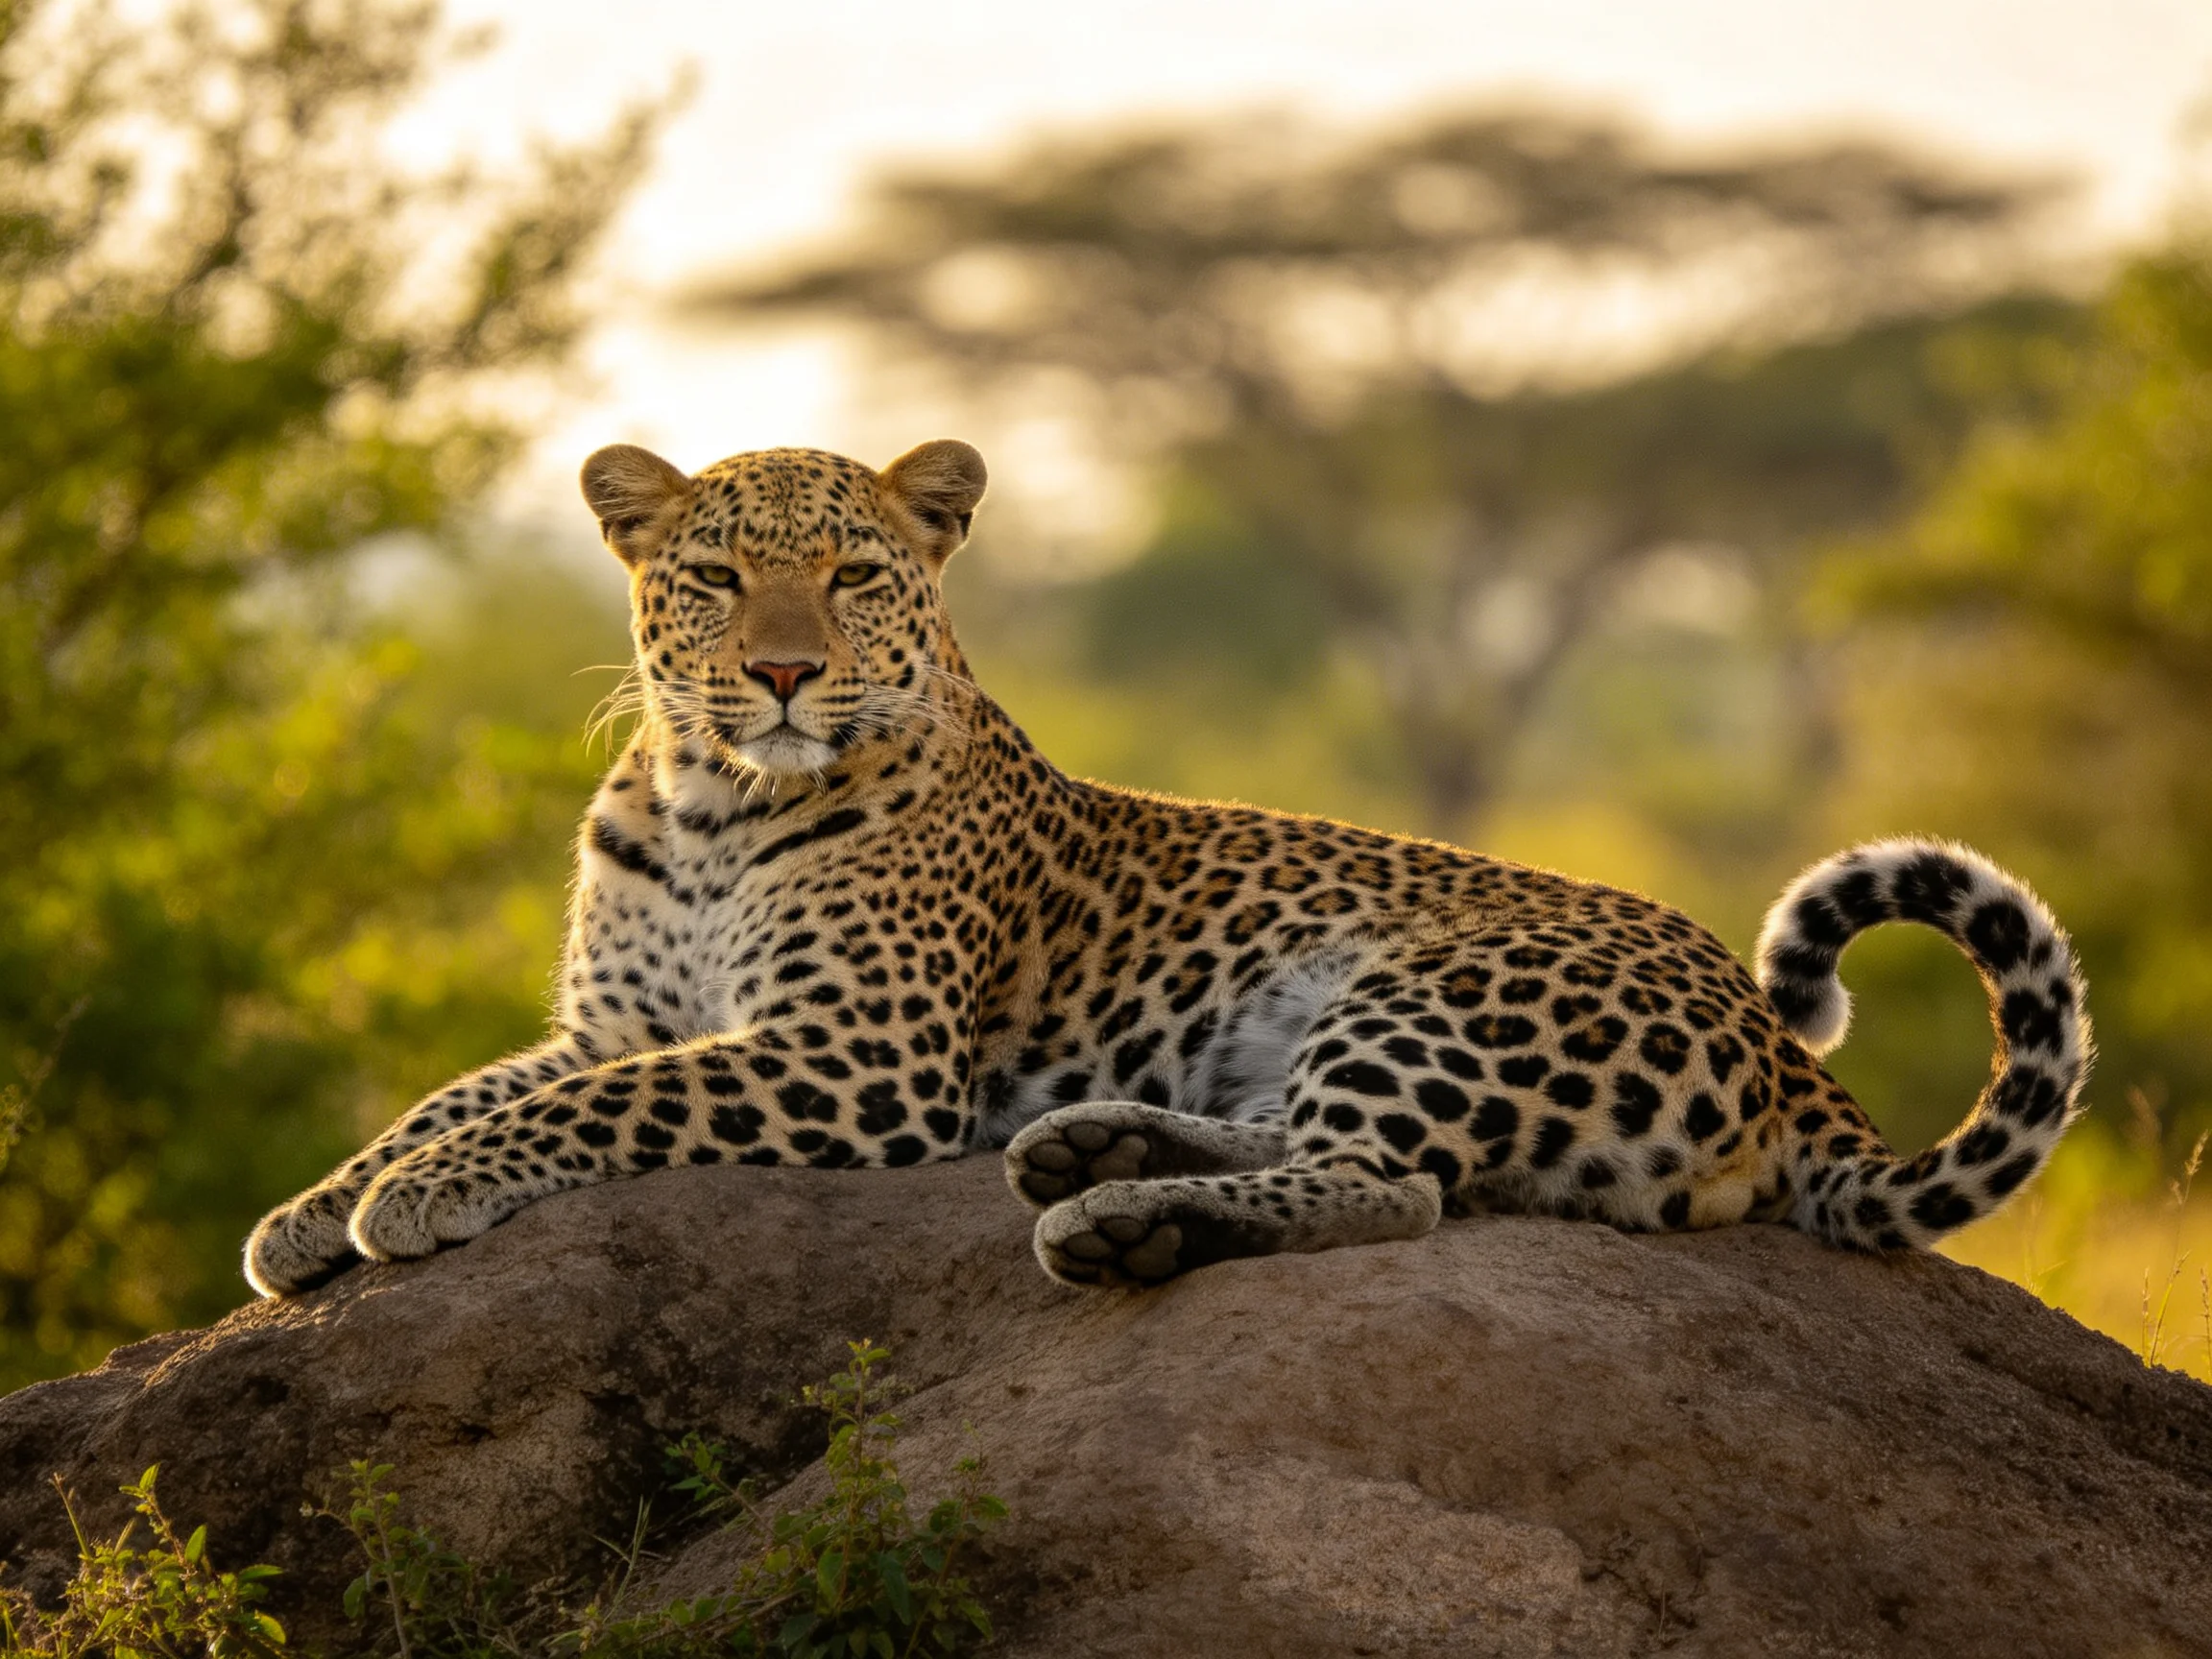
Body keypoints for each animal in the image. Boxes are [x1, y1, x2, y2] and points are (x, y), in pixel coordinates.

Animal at [243, 436, 2093, 1299]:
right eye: (709, 575)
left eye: (851, 575)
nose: (774, 671)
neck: (709, 798)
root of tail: (1785, 1048)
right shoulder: (610, 1020)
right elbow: (469, 1087)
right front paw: (311, 1211)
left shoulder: (851, 1058)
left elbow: (579, 1109)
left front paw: (410, 1199)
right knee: (1340, 1147)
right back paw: (1093, 1142)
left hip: (1433, 988)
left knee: (1392, 1185)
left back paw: (1118, 1221)